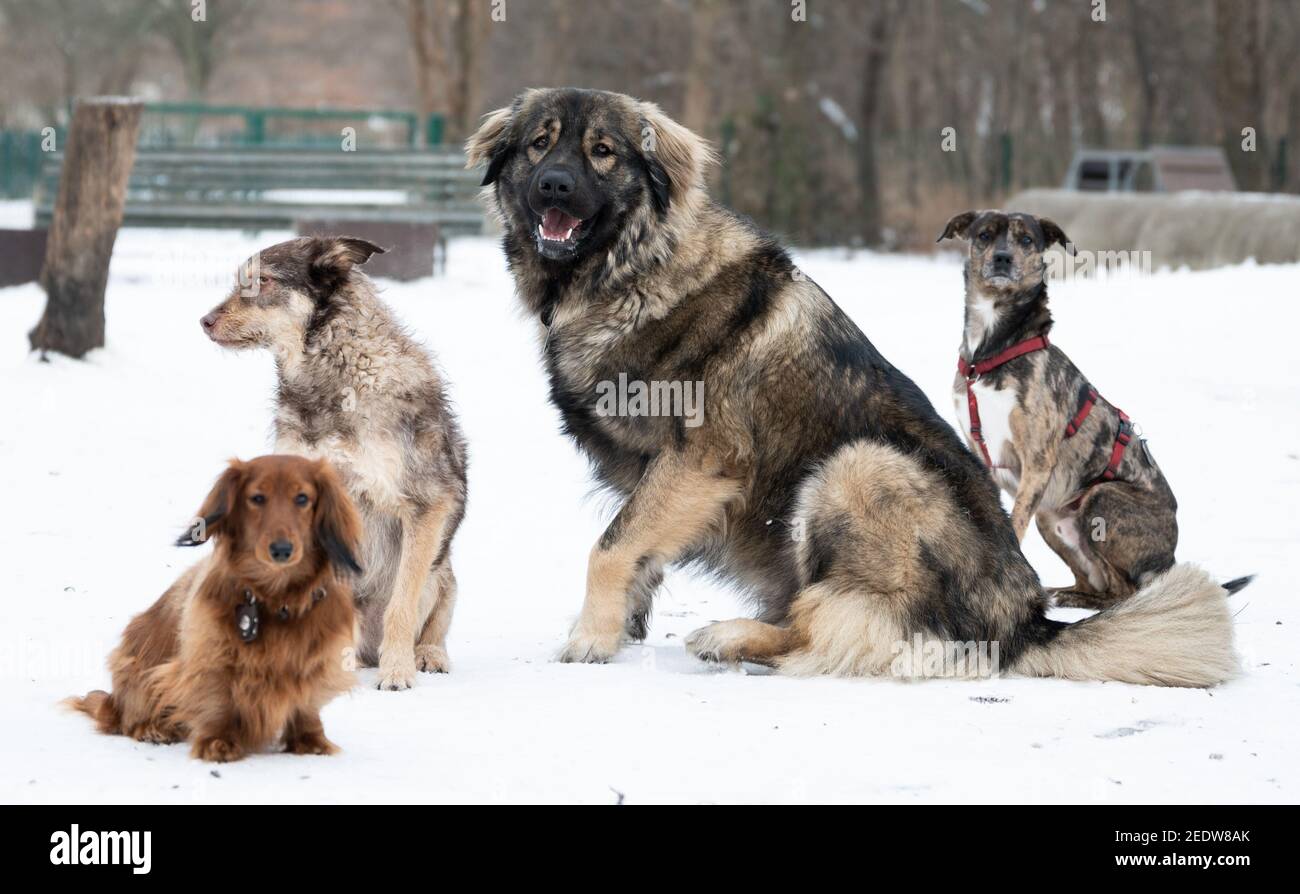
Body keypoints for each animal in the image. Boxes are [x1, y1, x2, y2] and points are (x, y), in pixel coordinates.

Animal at [197, 233, 467, 686]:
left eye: (263, 281)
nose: (204, 321)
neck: (331, 378)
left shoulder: (427, 504)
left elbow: (402, 604)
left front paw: (398, 671)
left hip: (442, 572)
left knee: (432, 624)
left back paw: (426, 655)